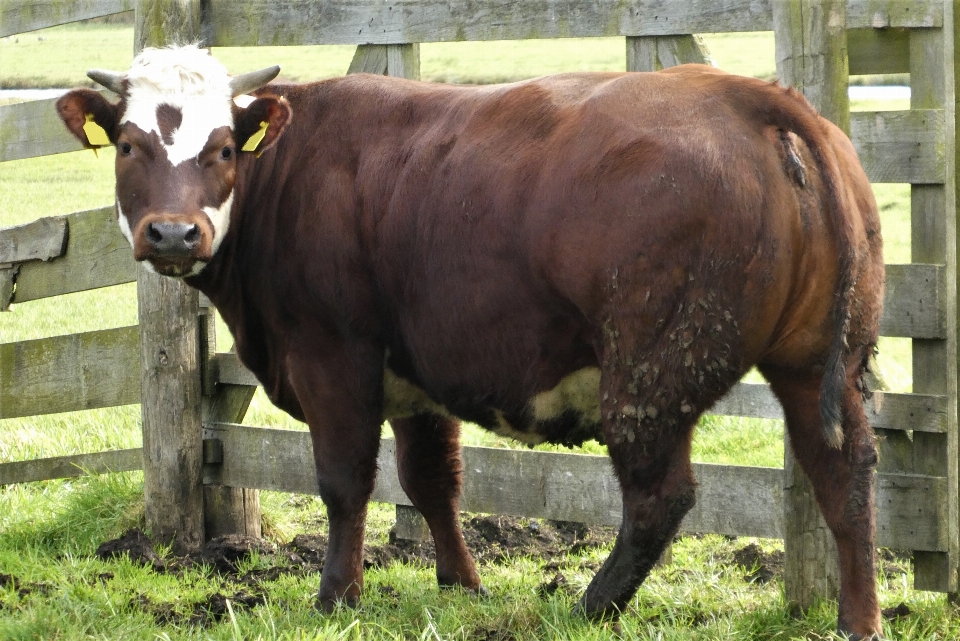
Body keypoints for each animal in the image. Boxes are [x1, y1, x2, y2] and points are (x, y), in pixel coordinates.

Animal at [58, 43, 884, 636]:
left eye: (224, 147)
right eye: (129, 145)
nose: (173, 233)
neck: (290, 175)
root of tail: (754, 99)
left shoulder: (335, 357)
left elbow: (345, 480)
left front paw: (336, 594)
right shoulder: (419, 377)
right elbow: (433, 480)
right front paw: (462, 582)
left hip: (651, 372)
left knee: (660, 496)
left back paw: (592, 604)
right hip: (818, 360)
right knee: (843, 474)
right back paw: (858, 617)